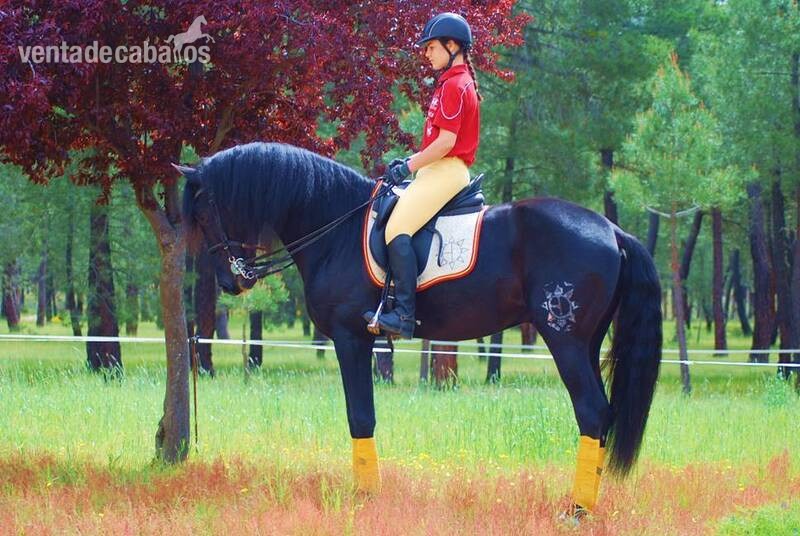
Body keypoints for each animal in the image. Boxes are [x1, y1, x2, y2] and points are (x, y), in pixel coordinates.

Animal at [179, 141, 662, 516]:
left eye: (202, 213)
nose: (231, 281)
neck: (336, 228)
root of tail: (612, 229)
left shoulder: (351, 338)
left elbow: (360, 416)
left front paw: (365, 497)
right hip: (588, 343)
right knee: (603, 416)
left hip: (565, 340)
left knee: (592, 413)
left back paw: (577, 509)